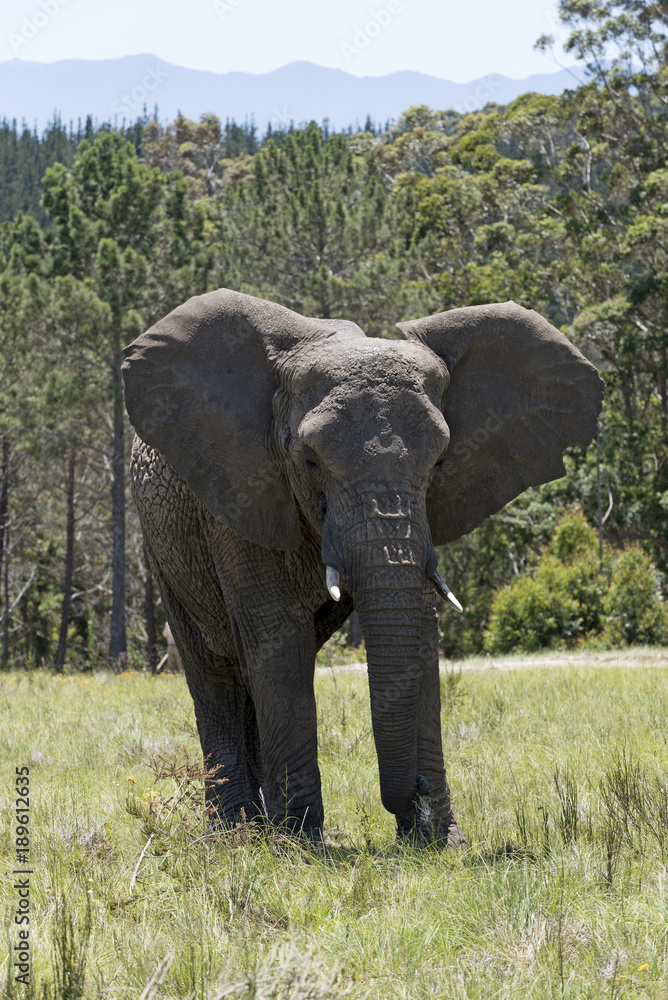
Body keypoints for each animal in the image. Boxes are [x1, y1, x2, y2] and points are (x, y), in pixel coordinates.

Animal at [122, 289, 603, 844]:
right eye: (310, 461)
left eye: (440, 462)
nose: (414, 791)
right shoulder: (242, 495)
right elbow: (277, 642)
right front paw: (297, 844)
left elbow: (419, 635)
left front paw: (439, 842)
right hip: (164, 544)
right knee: (215, 669)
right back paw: (232, 832)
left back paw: (256, 825)